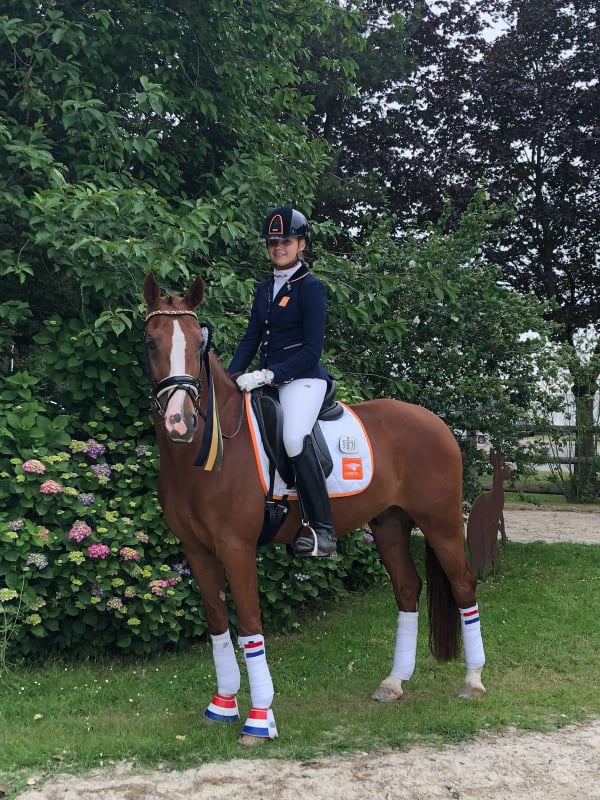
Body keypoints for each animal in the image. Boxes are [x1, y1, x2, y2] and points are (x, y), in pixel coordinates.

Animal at [142, 271, 486, 744]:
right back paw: (394, 682)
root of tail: (435, 420)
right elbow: (217, 623)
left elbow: (250, 623)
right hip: (389, 524)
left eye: (199, 345)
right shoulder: (196, 549)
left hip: (442, 523)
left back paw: (473, 681)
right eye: (151, 342)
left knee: (464, 584)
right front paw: (223, 705)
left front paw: (259, 718)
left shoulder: (236, 546)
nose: (181, 422)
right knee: (407, 588)